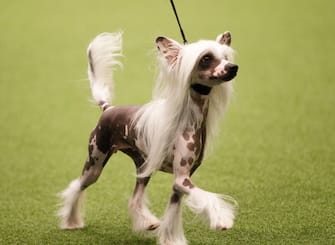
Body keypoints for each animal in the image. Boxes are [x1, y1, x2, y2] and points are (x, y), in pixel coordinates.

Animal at [59, 31, 240, 244]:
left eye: (225, 57)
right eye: (206, 58)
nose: (233, 67)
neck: (190, 120)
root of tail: (109, 109)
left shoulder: (180, 181)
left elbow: (173, 212)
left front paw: (170, 240)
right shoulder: (182, 179)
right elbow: (207, 197)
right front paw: (222, 219)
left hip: (143, 167)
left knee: (135, 198)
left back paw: (147, 222)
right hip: (95, 162)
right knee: (77, 186)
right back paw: (70, 221)